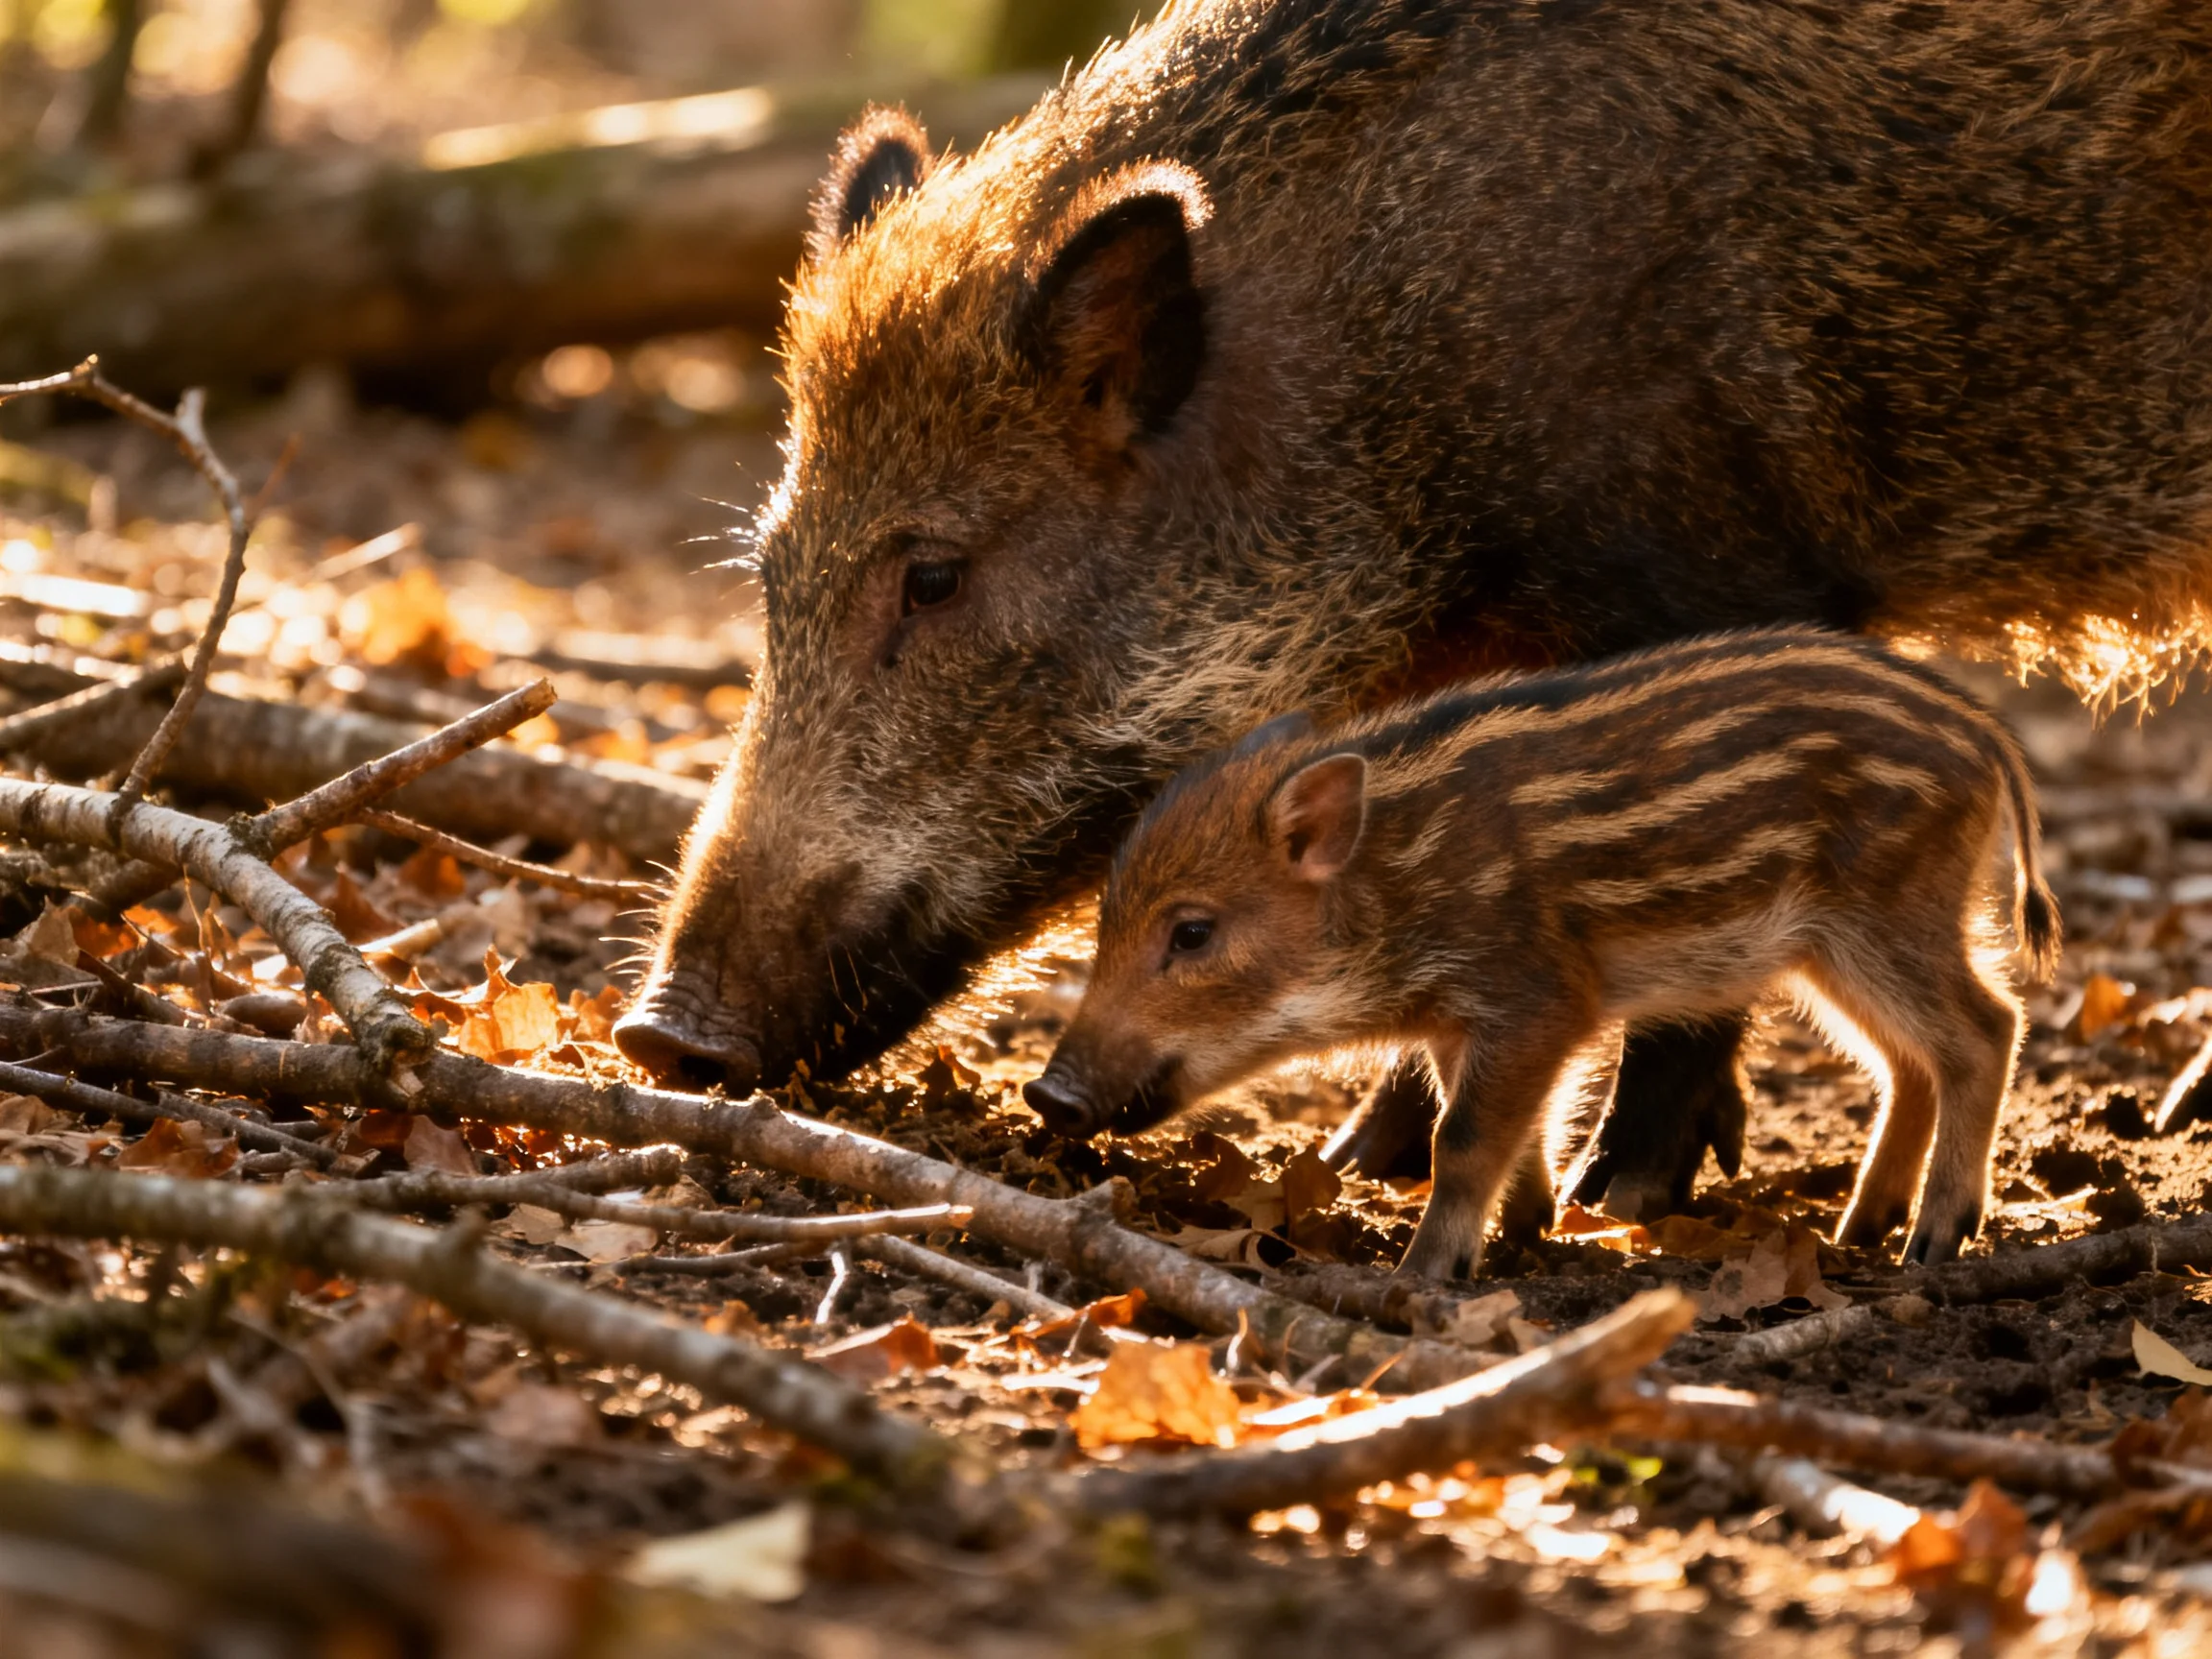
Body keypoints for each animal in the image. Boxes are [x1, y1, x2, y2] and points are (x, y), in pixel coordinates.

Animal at [1024, 630, 2060, 1276]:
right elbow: (1497, 1124)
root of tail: (1984, 731)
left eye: (1192, 933)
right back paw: (1859, 1228)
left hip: (1888, 915)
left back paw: (1933, 1240)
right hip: (1834, 952)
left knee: (1985, 1026)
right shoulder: (1467, 1025)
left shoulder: (1539, 997)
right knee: (1909, 1061)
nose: (1045, 1093)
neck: (1397, 885)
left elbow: (1462, 1136)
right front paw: (1532, 1228)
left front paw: (1425, 1274)